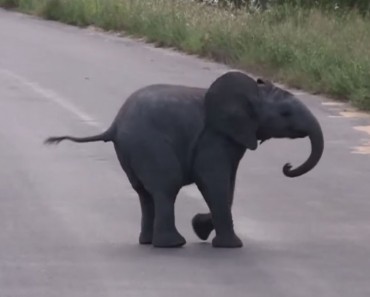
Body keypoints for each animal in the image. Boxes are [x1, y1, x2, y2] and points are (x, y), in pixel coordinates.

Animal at [44, 71, 324, 247]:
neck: (252, 91)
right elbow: (213, 182)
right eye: (285, 113)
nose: (287, 166)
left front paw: (201, 227)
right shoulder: (214, 137)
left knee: (145, 194)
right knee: (166, 188)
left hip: (132, 151)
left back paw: (148, 242)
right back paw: (171, 244)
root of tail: (113, 125)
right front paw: (229, 245)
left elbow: (228, 185)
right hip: (150, 145)